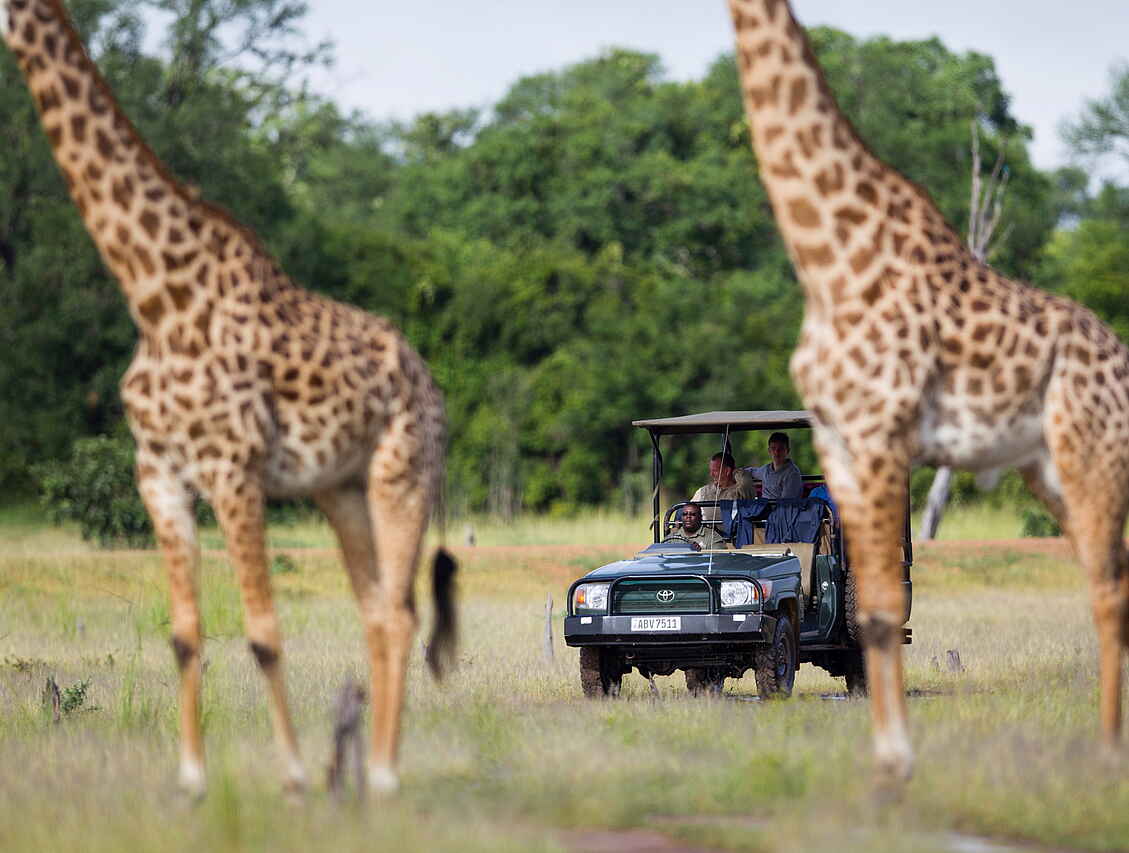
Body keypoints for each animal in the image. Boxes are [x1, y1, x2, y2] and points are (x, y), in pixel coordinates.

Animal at [1, 0, 457, 796]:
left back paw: (383, 774)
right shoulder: (158, 474)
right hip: (341, 491)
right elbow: (184, 634)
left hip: (402, 475)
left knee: (400, 614)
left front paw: (295, 776)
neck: (156, 296)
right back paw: (368, 772)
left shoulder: (234, 470)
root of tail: (430, 383)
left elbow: (264, 632)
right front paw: (191, 781)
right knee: (377, 610)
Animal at [728, 0, 1129, 785]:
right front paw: (887, 761)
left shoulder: (881, 430)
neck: (828, 259)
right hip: (1047, 469)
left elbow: (882, 606)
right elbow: (874, 609)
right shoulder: (841, 442)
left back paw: (1106, 753)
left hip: (1090, 457)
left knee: (1107, 586)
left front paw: (896, 764)